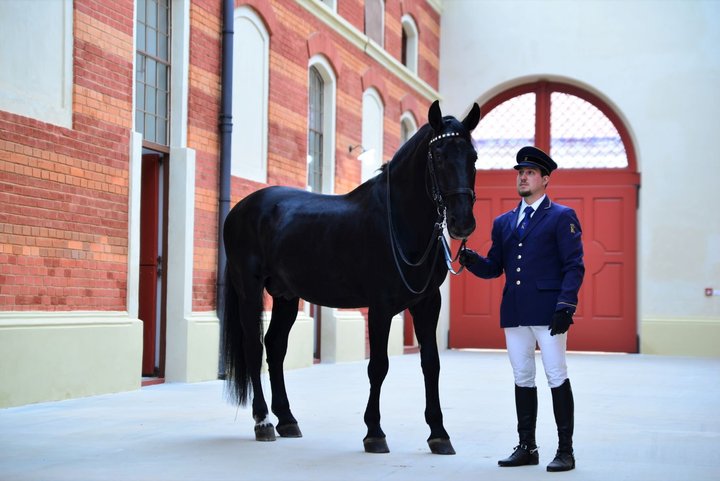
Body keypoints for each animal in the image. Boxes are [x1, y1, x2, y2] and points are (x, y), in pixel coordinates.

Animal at [222, 99, 480, 452]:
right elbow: (379, 366)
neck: (399, 223)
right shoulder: (381, 306)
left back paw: (287, 420)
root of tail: (238, 210)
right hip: (249, 290)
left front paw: (439, 434)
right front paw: (374, 432)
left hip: (286, 295)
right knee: (253, 346)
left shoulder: (428, 303)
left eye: (473, 157)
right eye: (439, 155)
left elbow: (431, 363)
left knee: (275, 346)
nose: (462, 222)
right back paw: (263, 422)